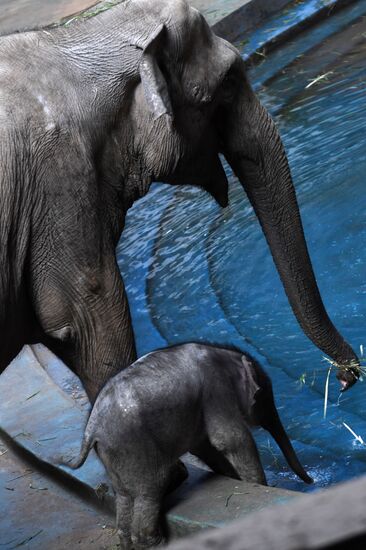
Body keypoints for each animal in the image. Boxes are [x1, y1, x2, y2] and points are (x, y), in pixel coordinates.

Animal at [66, 342, 312, 548]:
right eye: (262, 396)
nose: (311, 482)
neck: (224, 353)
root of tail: (91, 429)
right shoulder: (216, 390)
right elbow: (231, 439)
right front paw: (258, 486)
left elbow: (205, 447)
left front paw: (235, 479)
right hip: (133, 446)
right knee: (151, 488)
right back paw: (157, 543)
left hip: (113, 453)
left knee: (125, 497)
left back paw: (128, 542)